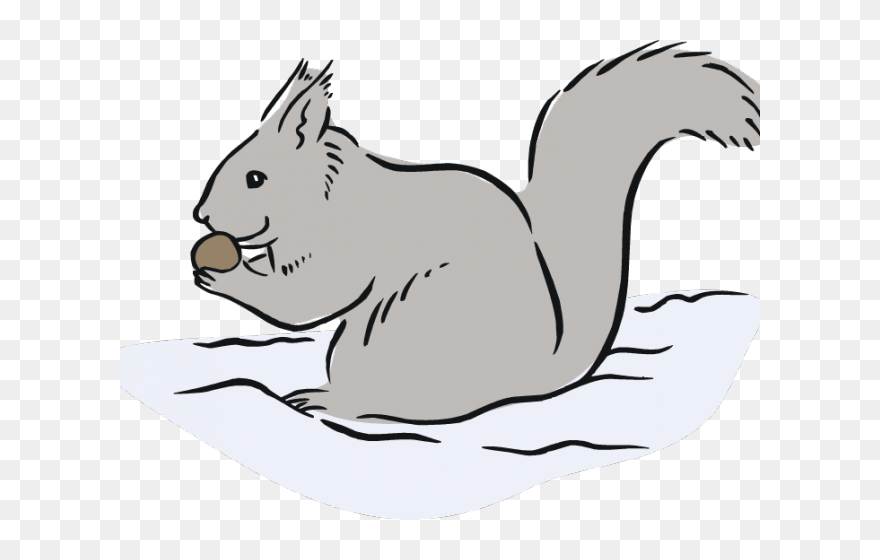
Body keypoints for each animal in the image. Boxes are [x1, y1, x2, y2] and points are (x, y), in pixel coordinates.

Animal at [192, 43, 761, 424]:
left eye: (255, 178)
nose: (201, 216)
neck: (323, 192)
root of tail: (533, 375)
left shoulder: (346, 243)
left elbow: (308, 298)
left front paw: (224, 276)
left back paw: (329, 399)